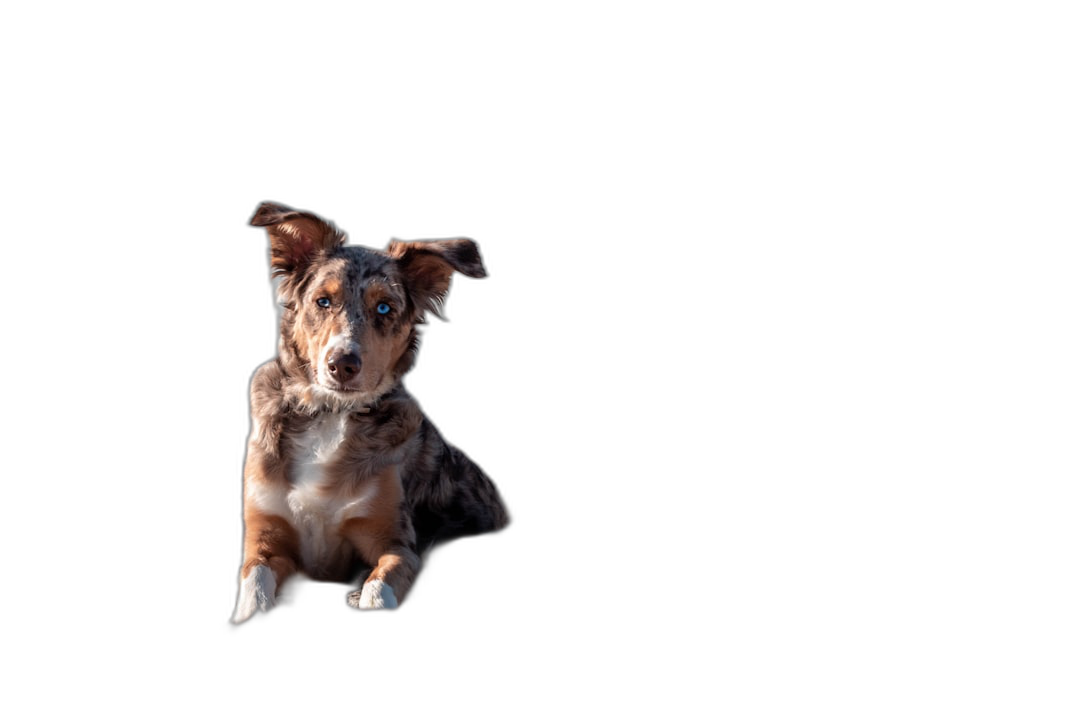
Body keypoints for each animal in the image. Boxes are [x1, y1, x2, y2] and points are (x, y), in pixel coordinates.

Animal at [228, 199, 514, 621]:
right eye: (323, 301)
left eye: (384, 307)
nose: (342, 364)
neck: (330, 414)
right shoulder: (266, 539)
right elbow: (254, 587)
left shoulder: (395, 545)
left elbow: (378, 590)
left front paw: (364, 591)